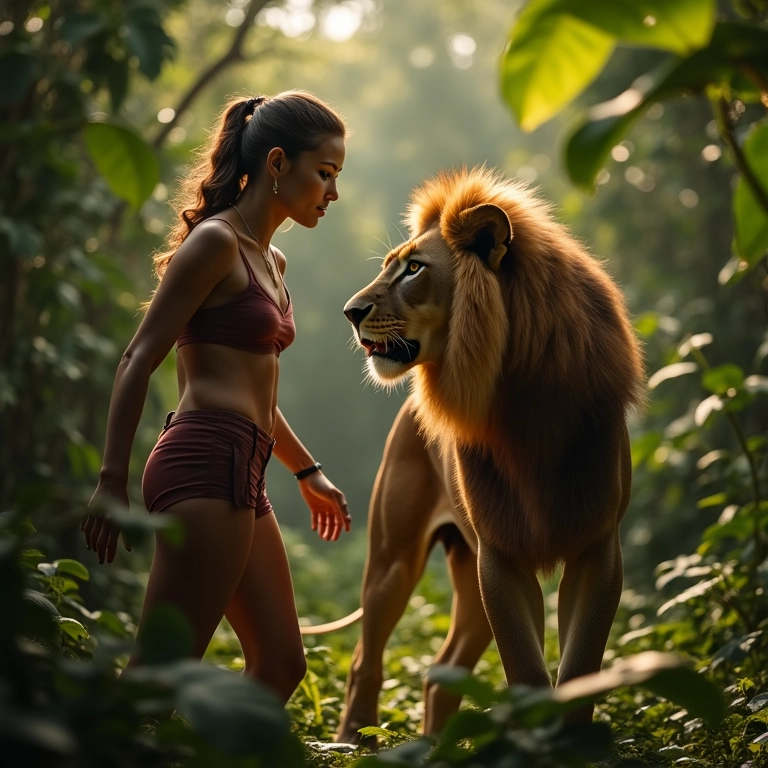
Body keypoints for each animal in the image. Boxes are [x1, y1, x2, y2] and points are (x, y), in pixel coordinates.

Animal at [337, 166, 645, 742]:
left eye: (414, 269)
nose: (350, 312)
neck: (527, 406)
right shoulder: (500, 556)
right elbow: (527, 671)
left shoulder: (596, 549)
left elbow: (579, 669)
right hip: (392, 559)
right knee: (365, 659)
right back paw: (350, 742)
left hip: (466, 572)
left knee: (439, 675)